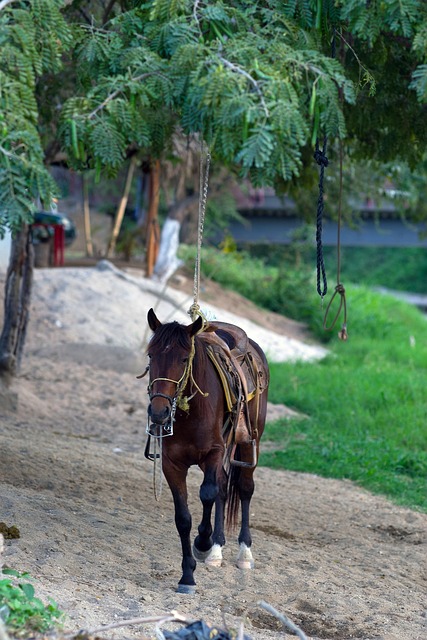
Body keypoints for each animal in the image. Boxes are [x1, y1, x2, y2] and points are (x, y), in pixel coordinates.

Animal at [145, 308, 270, 592]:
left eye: (183, 359)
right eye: (151, 355)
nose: (158, 412)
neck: (191, 412)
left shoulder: (213, 453)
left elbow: (208, 493)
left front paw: (202, 543)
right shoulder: (171, 464)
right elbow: (183, 517)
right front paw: (187, 575)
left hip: (248, 442)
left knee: (243, 488)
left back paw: (243, 553)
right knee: (224, 488)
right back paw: (216, 549)